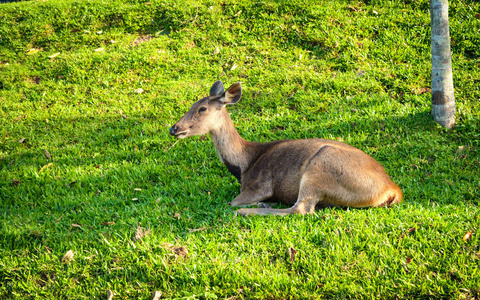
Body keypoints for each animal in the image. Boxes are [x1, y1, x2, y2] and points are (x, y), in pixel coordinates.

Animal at [169, 80, 402, 216]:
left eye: (202, 108)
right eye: (191, 105)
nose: (174, 128)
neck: (243, 166)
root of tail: (391, 190)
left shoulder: (260, 185)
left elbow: (232, 202)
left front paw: (253, 205)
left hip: (320, 167)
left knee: (300, 210)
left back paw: (251, 210)